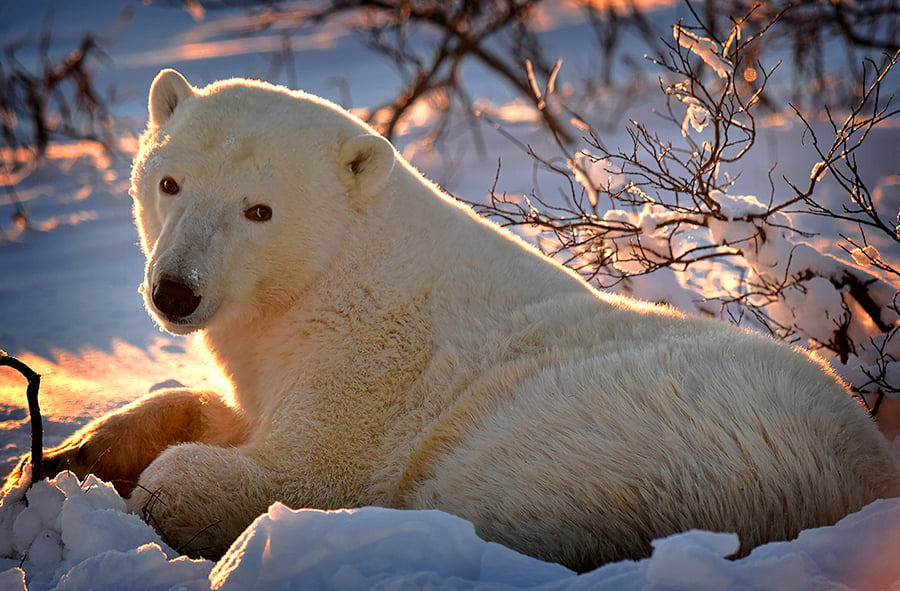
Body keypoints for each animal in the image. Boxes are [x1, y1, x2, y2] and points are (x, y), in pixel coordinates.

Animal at [3, 69, 896, 572]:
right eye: (170, 182)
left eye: (259, 209)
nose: (175, 292)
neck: (336, 274)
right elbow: (213, 407)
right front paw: (62, 458)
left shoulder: (367, 371)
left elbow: (301, 471)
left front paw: (148, 490)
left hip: (631, 444)